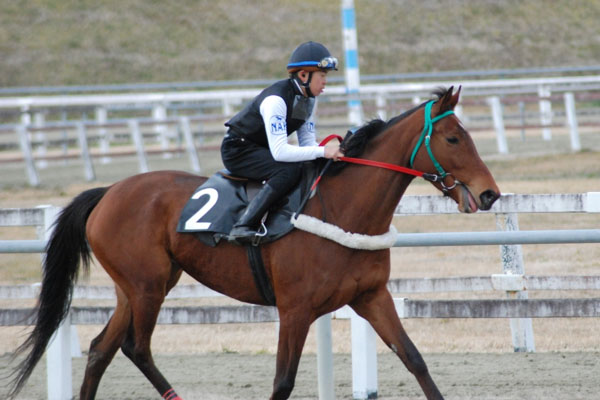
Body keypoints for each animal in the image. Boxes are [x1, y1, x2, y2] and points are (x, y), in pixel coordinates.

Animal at [8, 86, 499, 400]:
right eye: (453, 137)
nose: (490, 194)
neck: (342, 208)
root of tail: (109, 191)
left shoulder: (371, 296)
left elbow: (415, 359)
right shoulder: (295, 309)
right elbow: (283, 382)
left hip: (136, 287)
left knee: (100, 351)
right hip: (148, 287)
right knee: (136, 347)